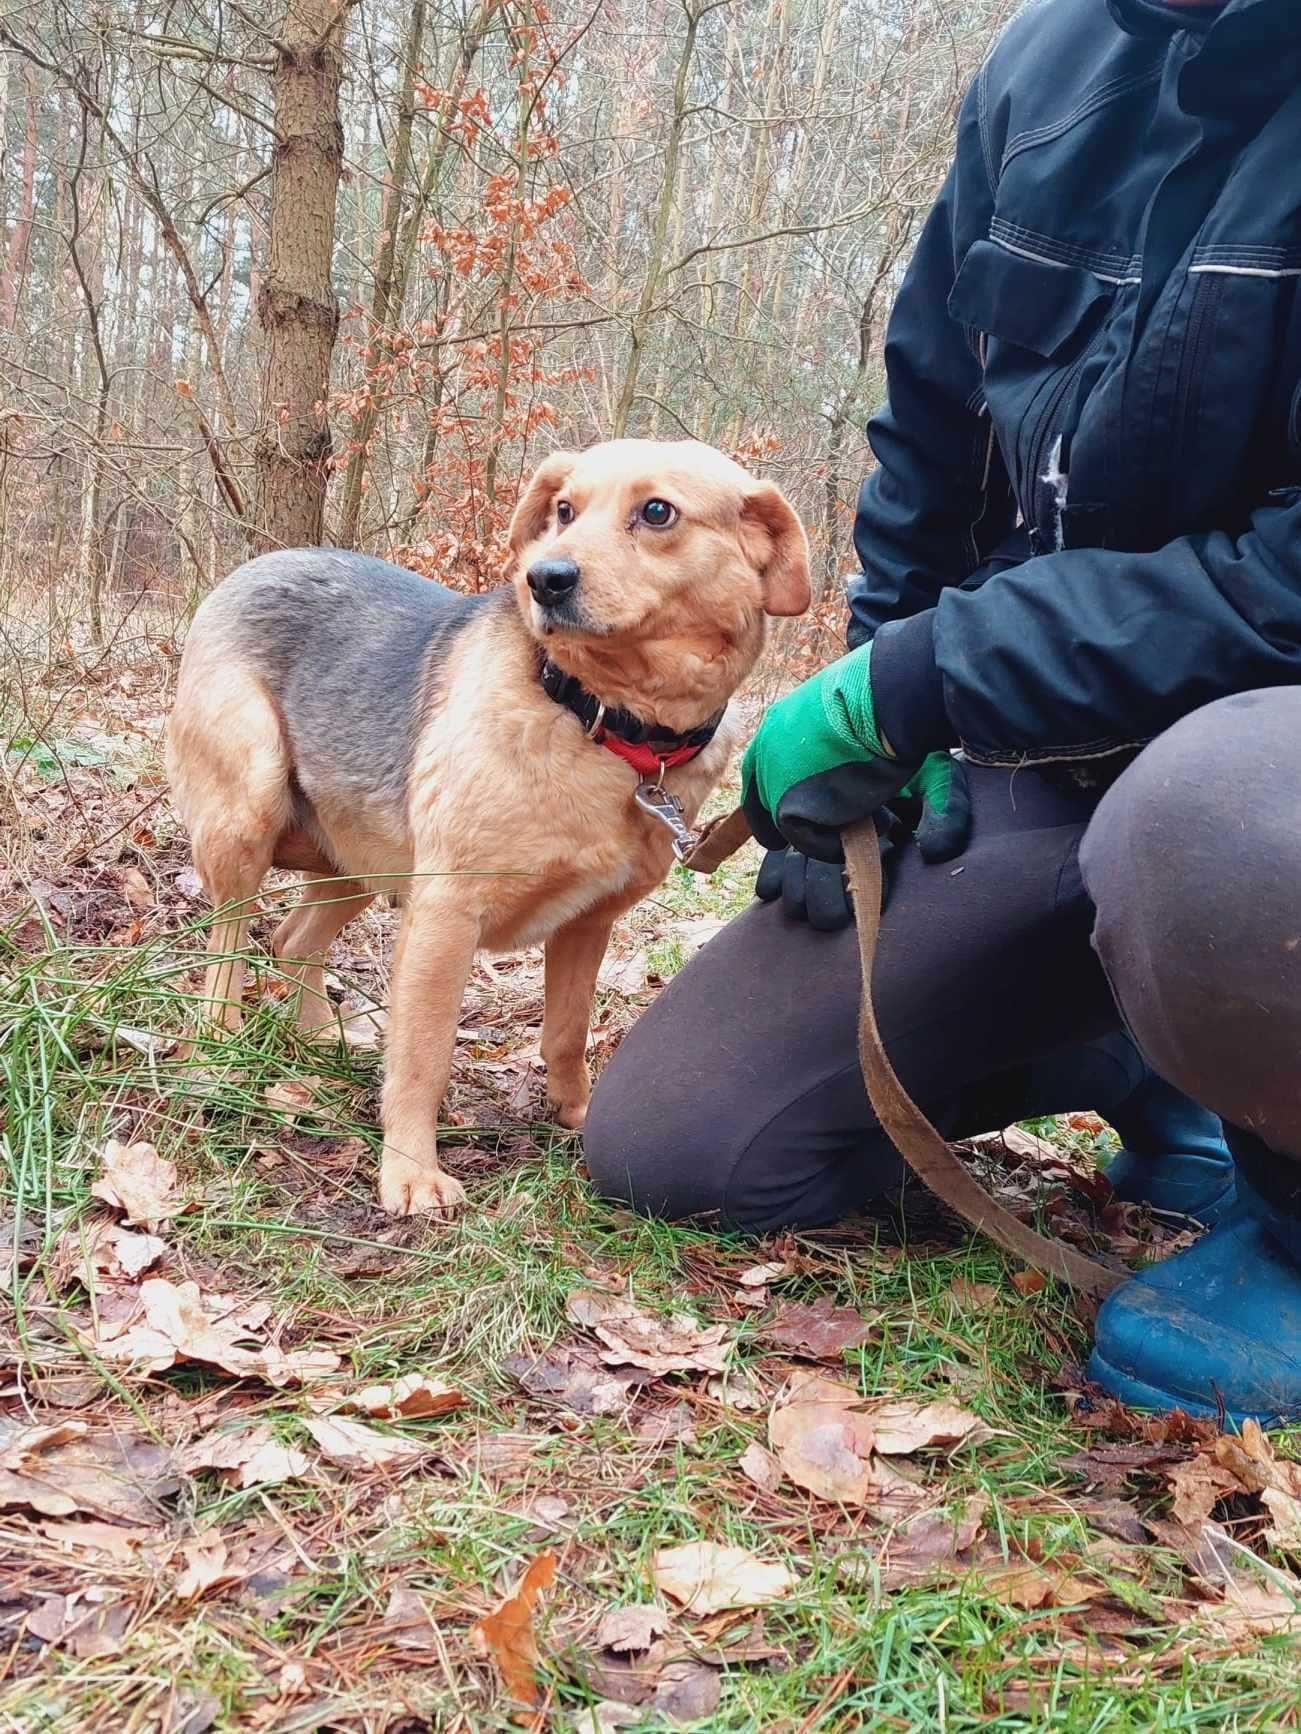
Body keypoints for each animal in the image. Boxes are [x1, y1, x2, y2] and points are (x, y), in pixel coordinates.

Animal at [166, 440, 811, 1213]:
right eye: (563, 510)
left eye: (657, 512)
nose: (544, 579)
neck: (602, 722)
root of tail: (254, 565)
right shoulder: (446, 914)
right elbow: (424, 1054)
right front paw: (410, 1171)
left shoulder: (586, 924)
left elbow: (565, 1034)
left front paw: (578, 1114)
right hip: (251, 808)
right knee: (228, 947)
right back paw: (217, 1045)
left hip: (362, 861)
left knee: (292, 939)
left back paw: (319, 1039)